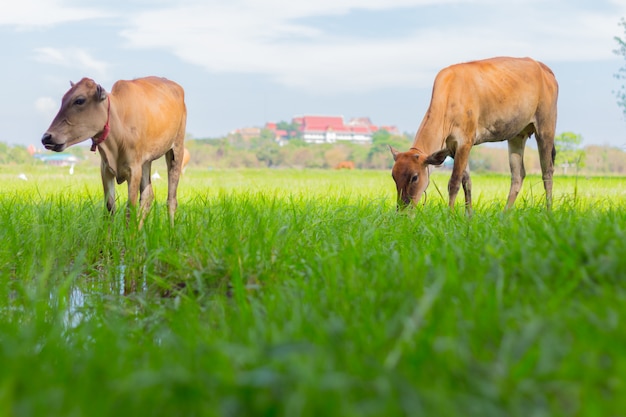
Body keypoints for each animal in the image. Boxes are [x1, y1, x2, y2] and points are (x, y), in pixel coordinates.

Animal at [41, 76, 186, 223]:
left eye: (79, 100)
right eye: (63, 99)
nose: (46, 137)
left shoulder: (134, 170)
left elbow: (129, 209)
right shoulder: (105, 169)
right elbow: (110, 207)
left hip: (177, 148)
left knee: (171, 199)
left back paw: (171, 227)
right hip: (146, 162)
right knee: (147, 197)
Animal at [390, 56, 556, 211]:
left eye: (414, 177)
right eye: (393, 176)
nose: (402, 210)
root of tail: (543, 68)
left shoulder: (465, 142)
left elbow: (454, 182)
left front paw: (450, 214)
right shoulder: (453, 147)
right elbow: (467, 182)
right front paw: (468, 216)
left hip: (546, 128)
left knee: (547, 172)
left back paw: (548, 211)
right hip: (517, 135)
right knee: (518, 175)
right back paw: (505, 214)